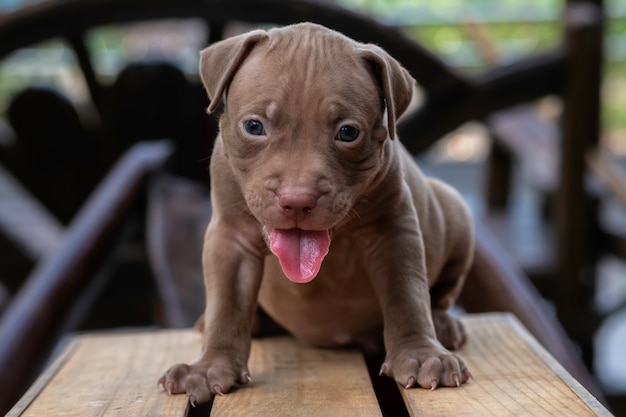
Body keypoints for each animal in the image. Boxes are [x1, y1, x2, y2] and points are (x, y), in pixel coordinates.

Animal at [160, 22, 472, 404]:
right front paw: (209, 367)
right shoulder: (230, 240)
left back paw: (443, 324)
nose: (297, 200)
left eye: (348, 133)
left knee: (441, 293)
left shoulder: (394, 233)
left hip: (455, 211)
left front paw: (422, 355)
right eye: (254, 127)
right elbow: (226, 304)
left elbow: (407, 297)